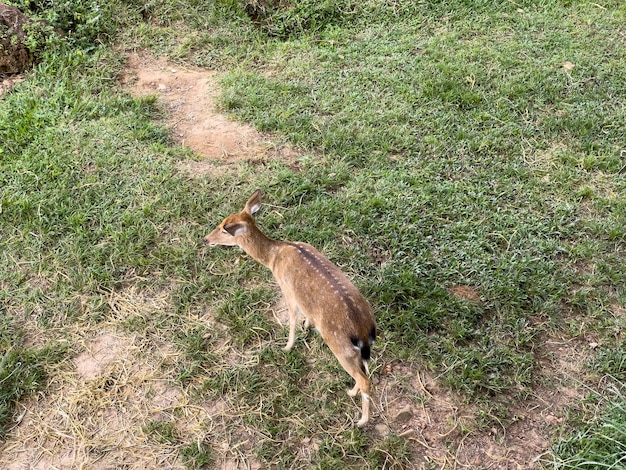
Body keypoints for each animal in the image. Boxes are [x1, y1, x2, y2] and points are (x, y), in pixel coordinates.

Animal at [204, 189, 376, 428]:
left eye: (223, 228)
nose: (206, 239)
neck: (273, 257)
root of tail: (363, 329)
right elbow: (305, 313)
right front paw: (307, 325)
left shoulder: (286, 288)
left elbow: (292, 318)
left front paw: (287, 346)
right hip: (360, 350)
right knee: (366, 371)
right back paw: (352, 392)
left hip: (340, 346)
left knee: (365, 379)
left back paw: (361, 420)